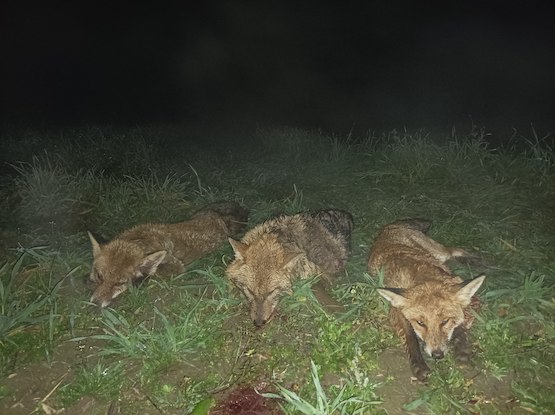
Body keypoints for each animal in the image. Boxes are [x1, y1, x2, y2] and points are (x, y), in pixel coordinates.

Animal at [87, 202, 248, 308]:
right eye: (100, 276)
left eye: (119, 283)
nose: (95, 303)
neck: (140, 240)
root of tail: (219, 218)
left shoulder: (176, 266)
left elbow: (150, 275)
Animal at [370, 219, 486, 382]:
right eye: (420, 323)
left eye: (445, 321)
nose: (437, 355)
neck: (421, 275)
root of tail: (388, 228)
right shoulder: (396, 311)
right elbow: (410, 337)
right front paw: (418, 365)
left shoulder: (474, 300)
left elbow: (460, 326)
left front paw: (462, 350)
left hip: (439, 252)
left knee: (453, 249)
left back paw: (473, 258)